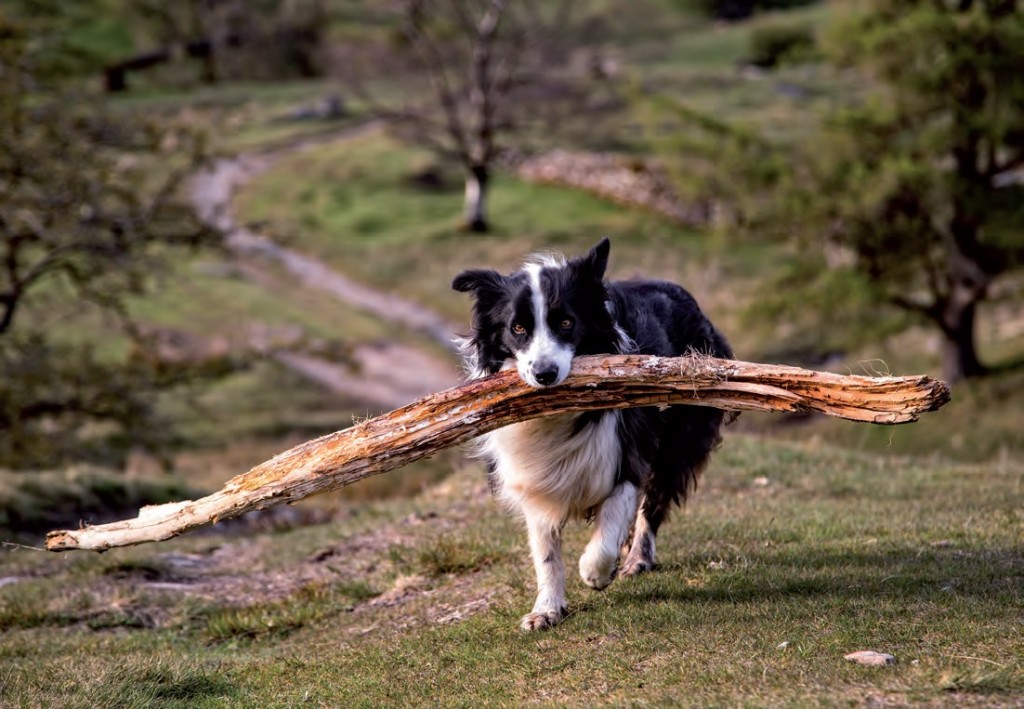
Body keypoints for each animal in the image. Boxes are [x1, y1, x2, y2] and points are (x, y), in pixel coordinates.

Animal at [452, 239, 733, 631]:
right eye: (518, 328)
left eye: (566, 322)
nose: (544, 374)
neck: (557, 415)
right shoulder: (532, 477)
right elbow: (545, 551)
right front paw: (547, 609)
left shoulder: (625, 449)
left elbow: (612, 518)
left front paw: (595, 572)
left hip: (681, 433)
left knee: (655, 498)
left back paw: (636, 558)